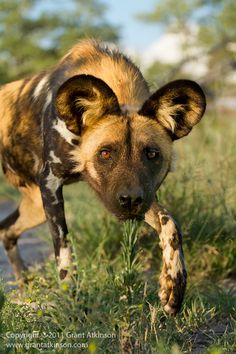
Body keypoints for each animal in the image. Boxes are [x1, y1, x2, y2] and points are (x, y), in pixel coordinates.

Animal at [0, 39, 206, 316]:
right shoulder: (51, 184)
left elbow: (171, 225)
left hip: (34, 209)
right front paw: (73, 305)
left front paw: (172, 287)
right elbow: (64, 251)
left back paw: (24, 286)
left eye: (152, 154)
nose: (130, 200)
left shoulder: (141, 193)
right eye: (105, 153)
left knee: (6, 230)